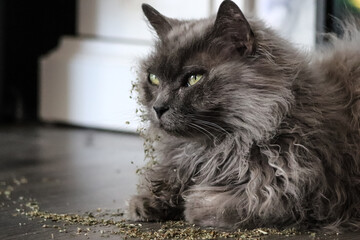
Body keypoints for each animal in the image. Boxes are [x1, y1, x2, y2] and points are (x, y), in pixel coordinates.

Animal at [127, 0, 360, 232]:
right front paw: (148, 202)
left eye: (194, 78)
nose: (158, 107)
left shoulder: (294, 192)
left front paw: (190, 202)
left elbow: (215, 205)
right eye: (153, 78)